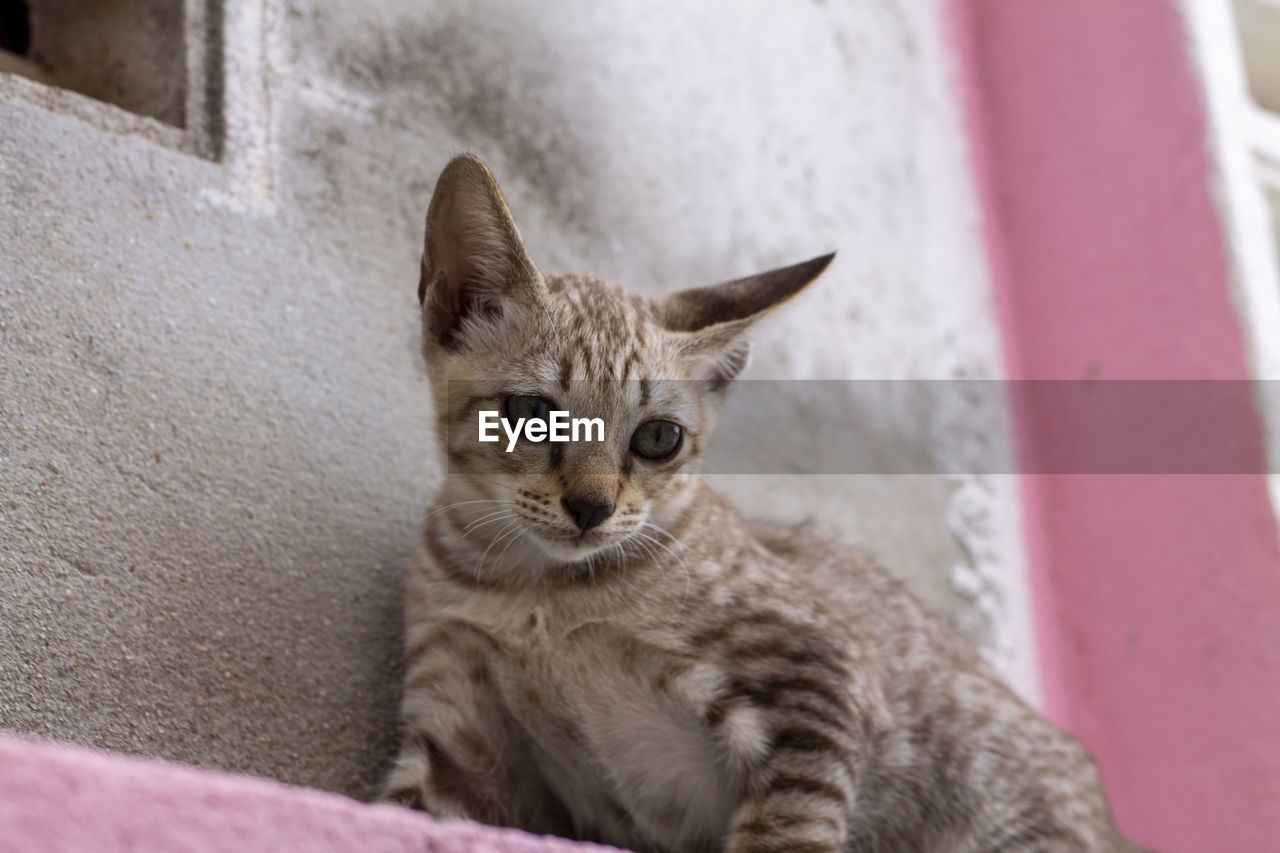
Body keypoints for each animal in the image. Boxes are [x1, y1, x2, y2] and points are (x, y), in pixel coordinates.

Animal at [381, 154, 1152, 850]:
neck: (532, 592)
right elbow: (397, 808)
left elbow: (787, 827)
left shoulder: (824, 672)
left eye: (658, 438)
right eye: (530, 413)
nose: (591, 507)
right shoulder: (461, 729)